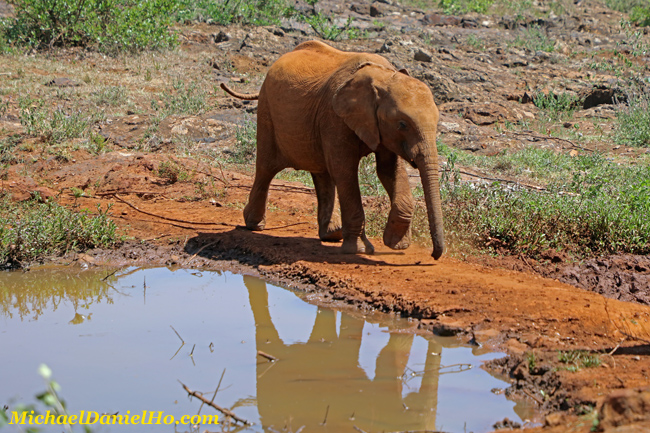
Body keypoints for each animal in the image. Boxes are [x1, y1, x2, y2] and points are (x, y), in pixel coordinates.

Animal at [220, 38, 442, 258]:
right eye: (402, 124)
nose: (433, 255)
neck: (382, 75)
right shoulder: (334, 116)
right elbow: (344, 171)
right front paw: (360, 250)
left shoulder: (379, 128)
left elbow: (389, 171)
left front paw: (395, 243)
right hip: (267, 110)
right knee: (266, 168)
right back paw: (254, 224)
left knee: (322, 173)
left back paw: (332, 235)